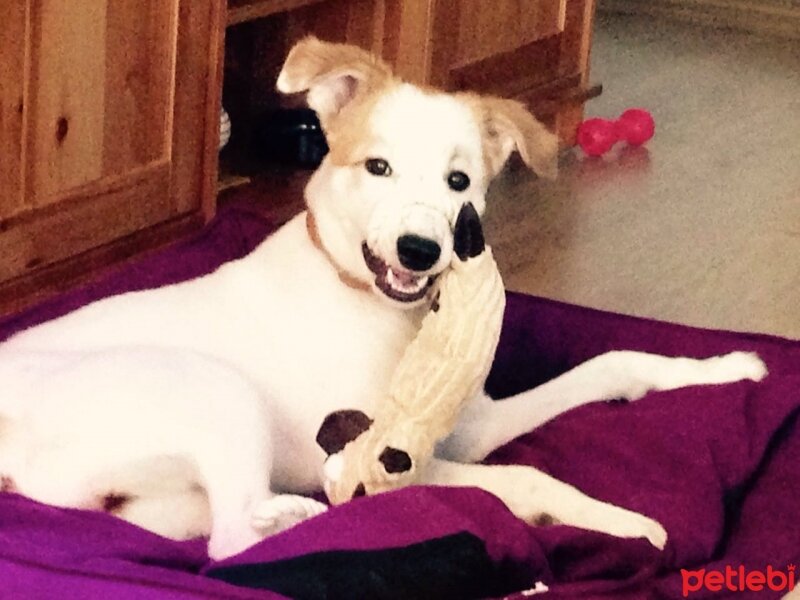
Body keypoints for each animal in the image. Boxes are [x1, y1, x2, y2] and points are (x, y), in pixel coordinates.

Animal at [0, 38, 764, 564]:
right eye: (377, 167)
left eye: (460, 181)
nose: (419, 250)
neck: (383, 314)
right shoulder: (378, 453)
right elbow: (518, 479)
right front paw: (631, 525)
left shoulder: (471, 425)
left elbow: (615, 363)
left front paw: (728, 368)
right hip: (214, 390)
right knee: (231, 542)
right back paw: (312, 520)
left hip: (160, 500)